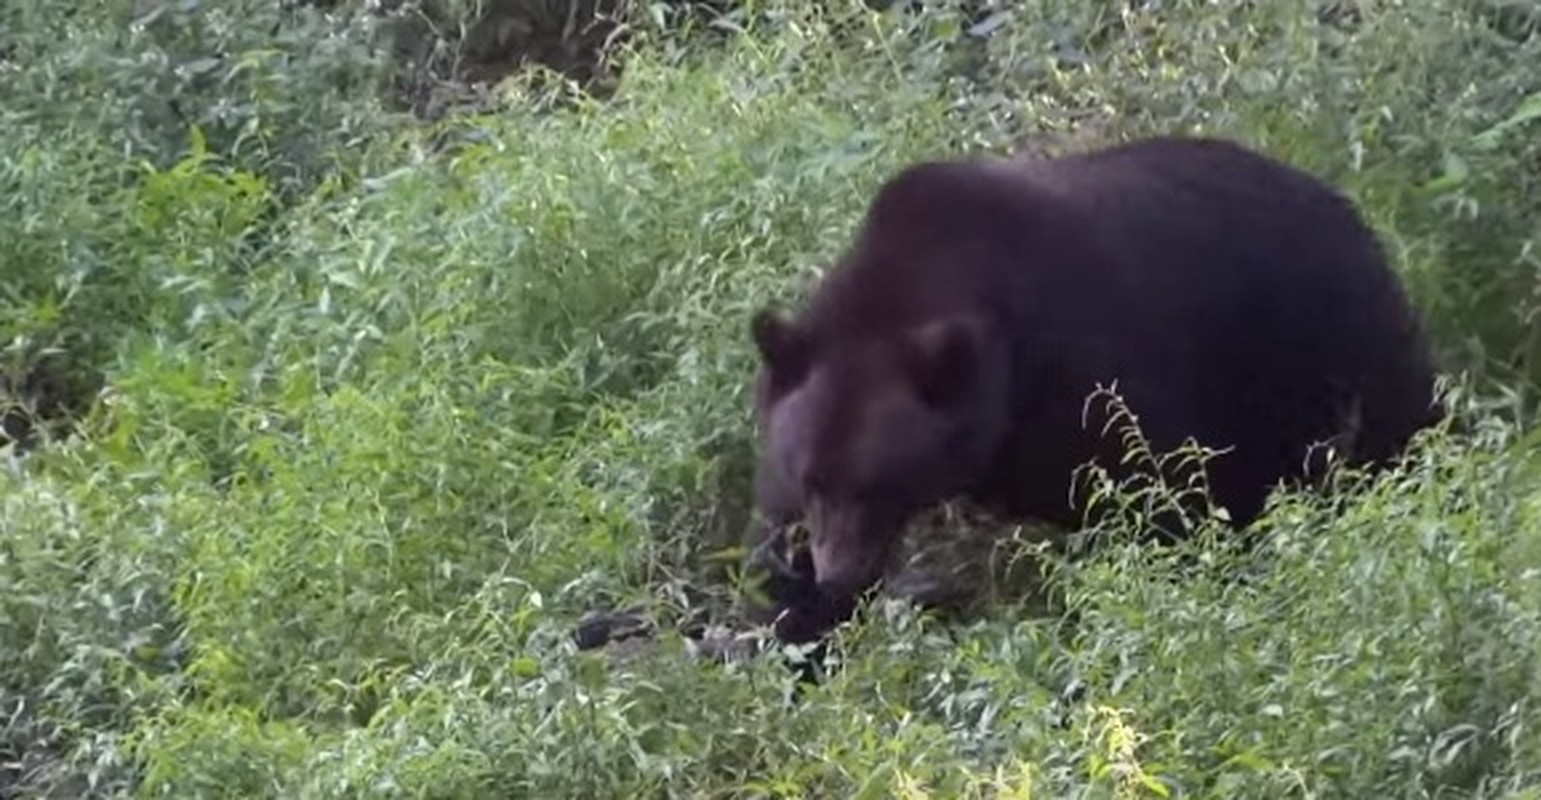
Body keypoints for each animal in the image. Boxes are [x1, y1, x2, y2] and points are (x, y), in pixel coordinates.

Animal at [745, 136, 1442, 644]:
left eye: (878, 483)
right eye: (812, 478)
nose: (839, 572)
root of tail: (1349, 207)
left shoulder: (1091, 374)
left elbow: (1160, 495)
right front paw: (798, 623)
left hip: (1325, 343)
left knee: (1397, 432)